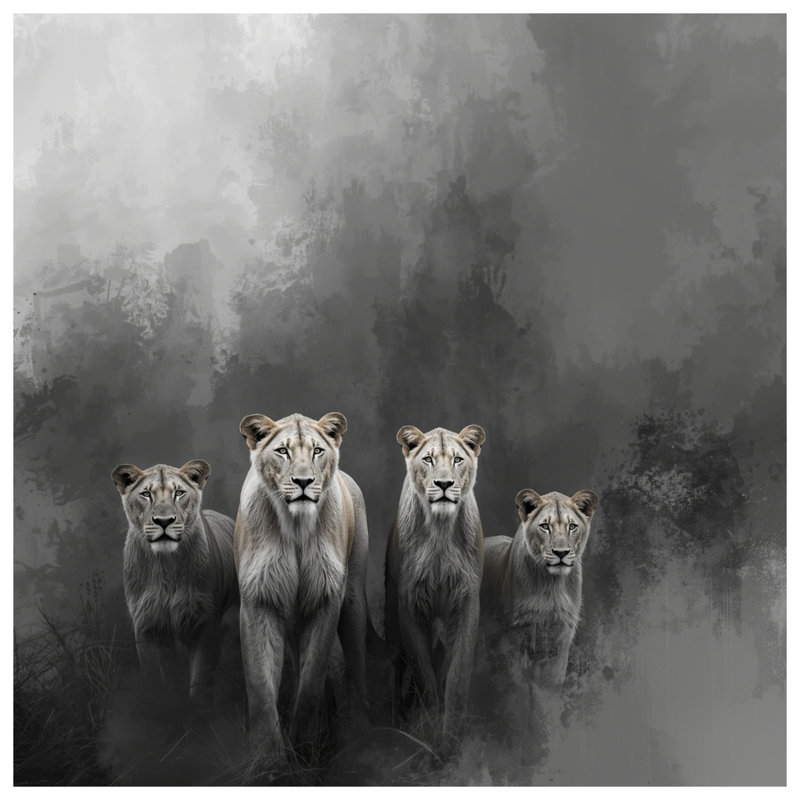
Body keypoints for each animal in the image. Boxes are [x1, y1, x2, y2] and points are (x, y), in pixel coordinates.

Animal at [111, 460, 238, 699]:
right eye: (146, 494)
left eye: (178, 493)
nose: (164, 521)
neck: (165, 565)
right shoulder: (147, 625)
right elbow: (160, 678)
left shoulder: (205, 621)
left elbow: (200, 680)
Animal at [234, 411, 373, 763]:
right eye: (282, 451)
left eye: (317, 451)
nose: (303, 482)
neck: (296, 526)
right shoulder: (258, 601)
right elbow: (260, 688)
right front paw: (268, 758)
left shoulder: (327, 601)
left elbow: (310, 686)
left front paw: (304, 747)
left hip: (353, 600)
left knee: (357, 667)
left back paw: (360, 732)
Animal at [384, 424, 486, 747]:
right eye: (428, 459)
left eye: (457, 459)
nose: (443, 484)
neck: (440, 530)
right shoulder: (409, 604)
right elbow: (423, 670)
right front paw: (428, 728)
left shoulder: (467, 603)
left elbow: (456, 674)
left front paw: (452, 731)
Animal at [480, 489, 598, 689]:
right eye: (545, 526)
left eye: (572, 526)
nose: (561, 553)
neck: (552, 585)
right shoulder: (515, 636)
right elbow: (518, 686)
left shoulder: (560, 638)